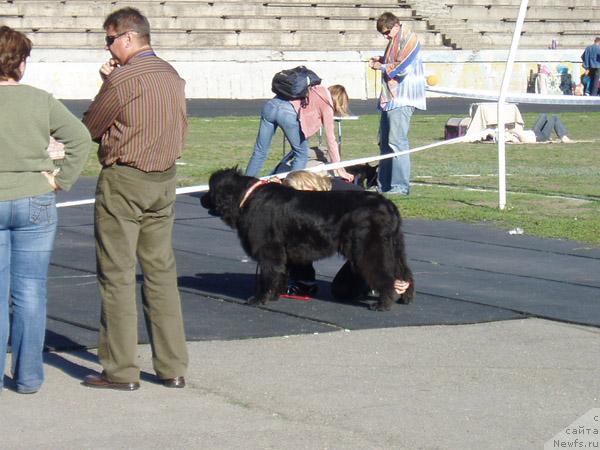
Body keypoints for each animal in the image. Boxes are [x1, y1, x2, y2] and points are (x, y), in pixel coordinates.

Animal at [200, 167, 412, 312]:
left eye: (210, 189)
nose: (202, 199)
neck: (246, 198)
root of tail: (387, 204)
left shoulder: (269, 250)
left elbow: (268, 275)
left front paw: (259, 299)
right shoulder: (281, 253)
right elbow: (279, 274)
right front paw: (275, 295)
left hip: (369, 249)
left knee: (384, 276)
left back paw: (383, 303)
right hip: (394, 246)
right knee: (405, 273)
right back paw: (405, 297)